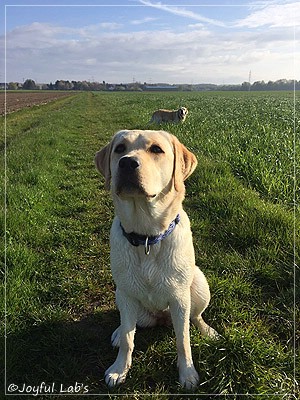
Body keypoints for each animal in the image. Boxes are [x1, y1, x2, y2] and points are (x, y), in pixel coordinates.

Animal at [95, 129, 217, 390]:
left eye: (157, 150)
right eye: (119, 148)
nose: (127, 163)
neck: (147, 238)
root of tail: (161, 318)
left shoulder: (179, 298)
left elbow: (183, 340)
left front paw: (187, 374)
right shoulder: (127, 294)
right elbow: (129, 339)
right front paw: (119, 369)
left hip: (198, 283)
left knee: (195, 317)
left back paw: (207, 330)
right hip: (122, 296)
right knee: (128, 325)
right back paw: (118, 332)